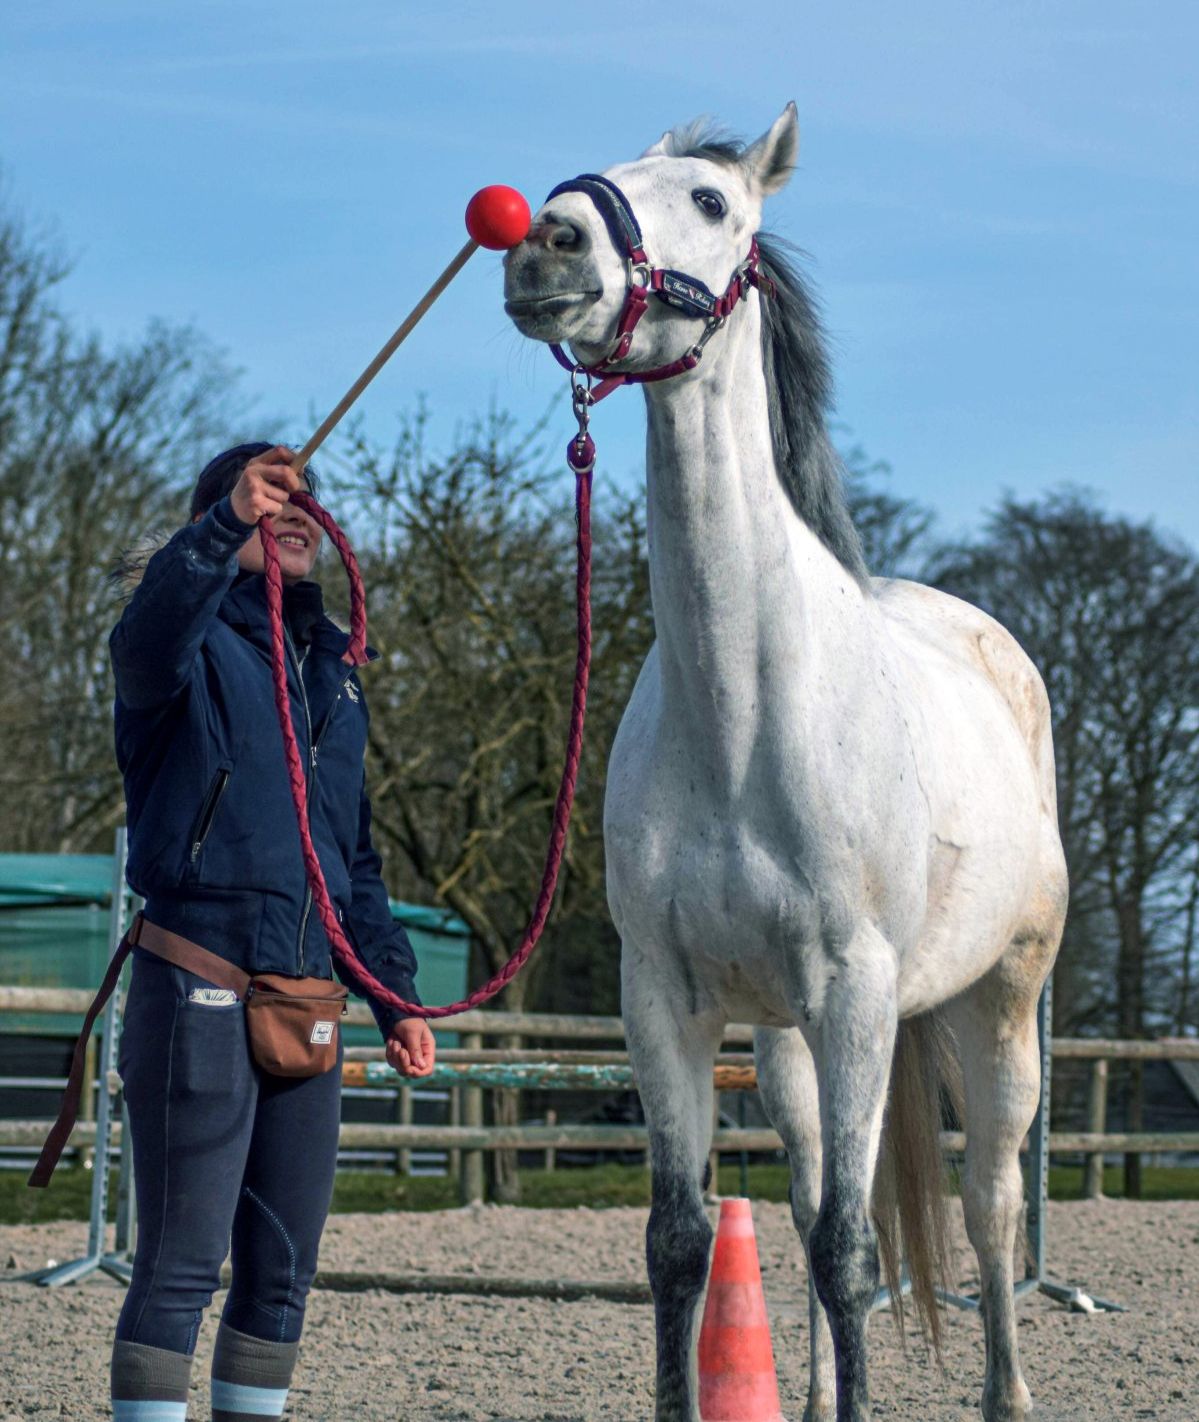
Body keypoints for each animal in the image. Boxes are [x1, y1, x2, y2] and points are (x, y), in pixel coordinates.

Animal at [504, 104, 1067, 1422]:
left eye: (710, 202)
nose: (543, 245)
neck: (744, 720)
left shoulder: (857, 997)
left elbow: (853, 1250)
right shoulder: (664, 1000)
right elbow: (684, 1241)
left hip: (998, 1011)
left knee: (986, 1207)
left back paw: (1006, 1395)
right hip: (788, 1045)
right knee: (816, 1196)